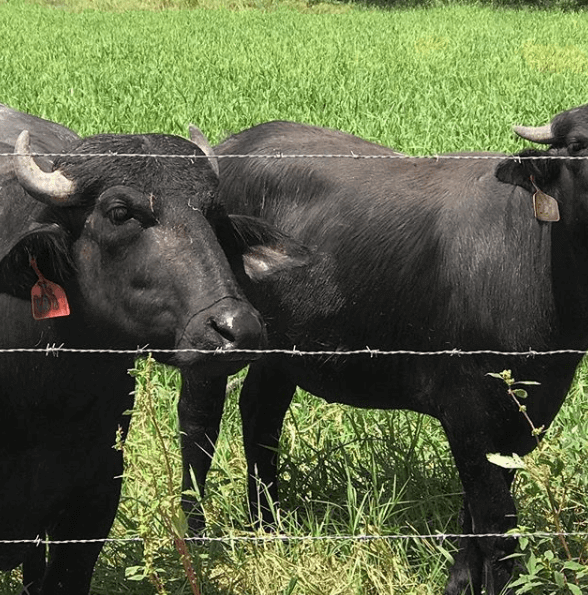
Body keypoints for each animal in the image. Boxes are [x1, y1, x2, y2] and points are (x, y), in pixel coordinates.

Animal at [179, 109, 588, 595]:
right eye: (580, 147)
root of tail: (225, 151)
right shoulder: (467, 411)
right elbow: (493, 523)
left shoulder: (528, 415)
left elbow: (474, 517)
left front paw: (459, 583)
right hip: (209, 336)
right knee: (198, 425)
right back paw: (197, 534)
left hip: (281, 349)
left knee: (261, 414)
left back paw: (267, 523)